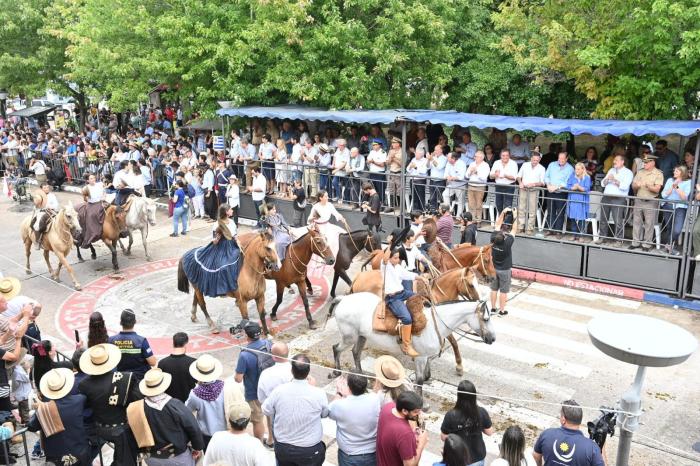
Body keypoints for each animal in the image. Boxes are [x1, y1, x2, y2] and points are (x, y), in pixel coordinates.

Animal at [326, 292, 494, 396]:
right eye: (486, 319)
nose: (492, 339)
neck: (435, 324)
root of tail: (344, 299)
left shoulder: (426, 357)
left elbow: (425, 376)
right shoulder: (420, 357)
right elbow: (420, 380)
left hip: (361, 336)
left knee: (356, 352)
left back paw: (361, 377)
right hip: (349, 337)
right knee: (336, 348)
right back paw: (336, 372)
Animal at [352, 266, 484, 374]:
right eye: (471, 285)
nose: (479, 301)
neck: (436, 296)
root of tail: (358, 277)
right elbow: (454, 342)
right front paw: (459, 366)